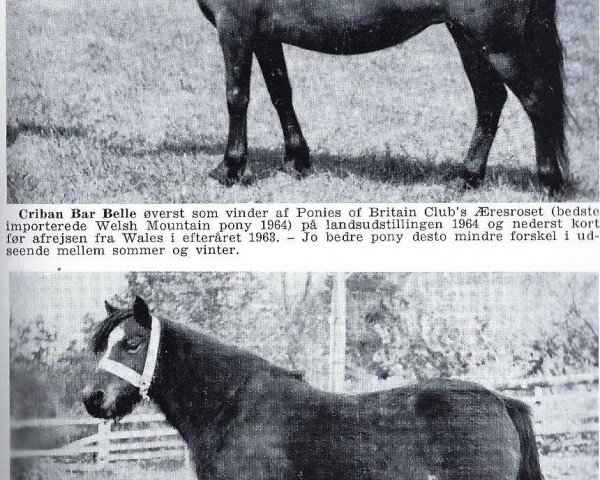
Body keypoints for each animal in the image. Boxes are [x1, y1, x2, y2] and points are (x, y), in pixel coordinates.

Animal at [196, 0, 568, 193]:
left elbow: (237, 97)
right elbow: (281, 94)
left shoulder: (236, 25)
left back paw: (549, 184)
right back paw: (467, 178)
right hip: (469, 37)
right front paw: (295, 162)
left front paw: (229, 169)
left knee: (537, 101)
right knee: (490, 100)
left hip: (497, 40)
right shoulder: (264, 34)